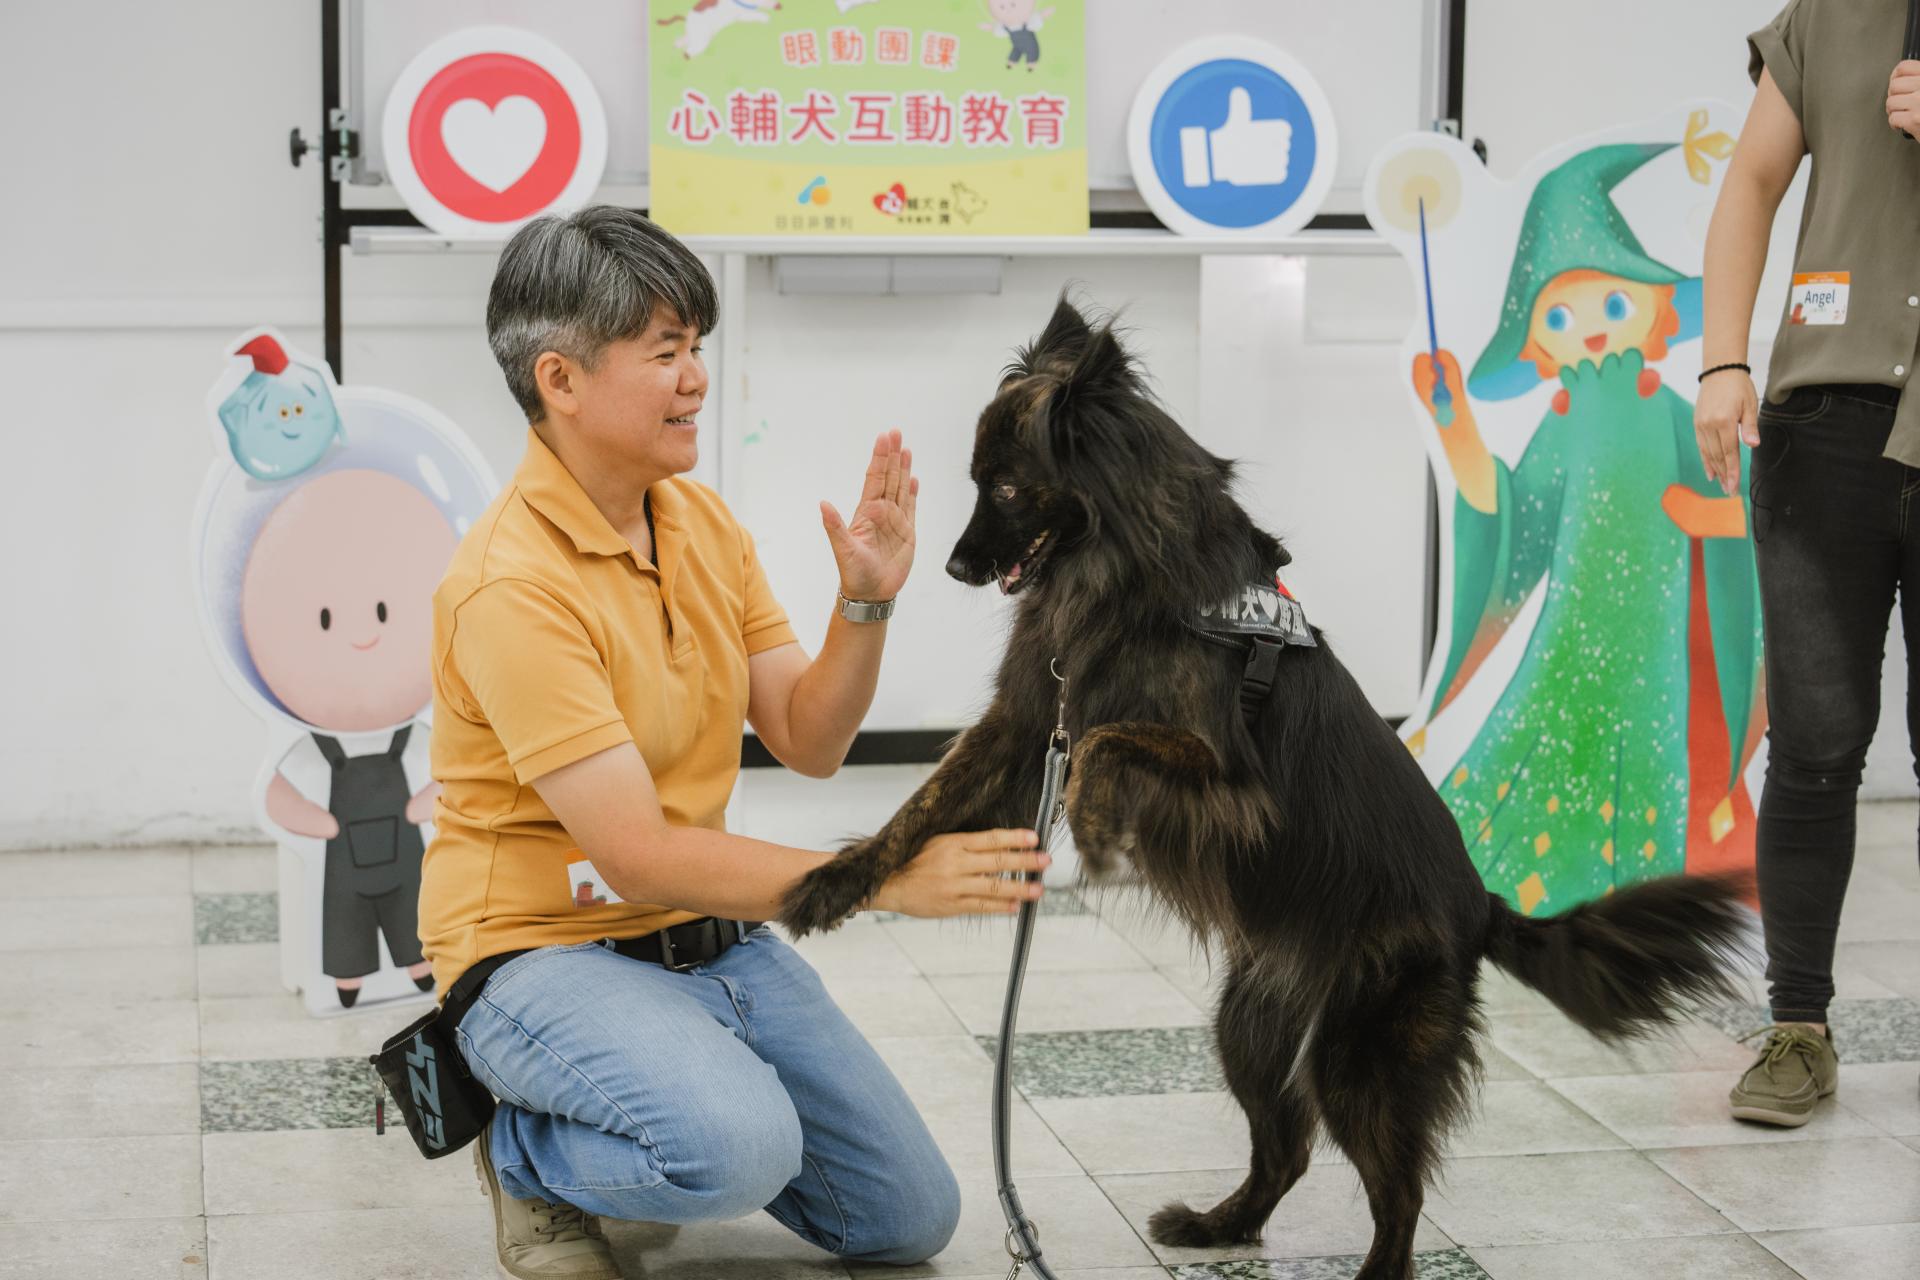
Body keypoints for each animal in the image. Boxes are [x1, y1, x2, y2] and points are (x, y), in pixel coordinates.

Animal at [771, 297, 1751, 1280]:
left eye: (1006, 489)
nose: (952, 569)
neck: (1131, 571)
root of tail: (1483, 905)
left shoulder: (1230, 781)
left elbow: (1105, 744)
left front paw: (1095, 826)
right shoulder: (1024, 725)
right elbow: (920, 806)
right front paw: (832, 883)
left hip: (1360, 1055)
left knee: (1399, 1193)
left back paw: (1367, 1269)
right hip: (1249, 1024)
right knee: (1287, 1149)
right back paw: (1218, 1226)